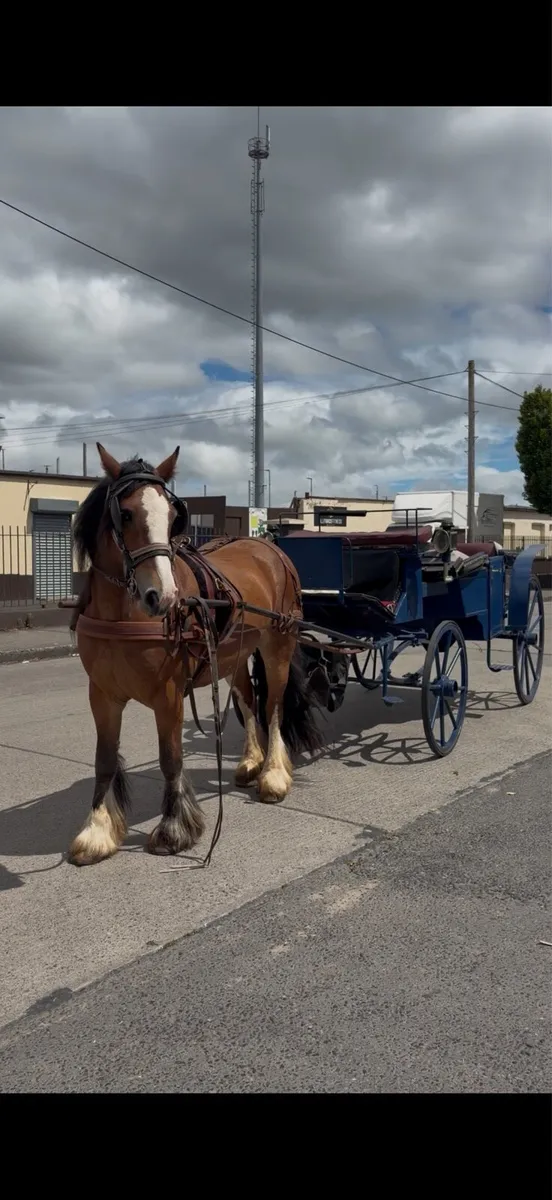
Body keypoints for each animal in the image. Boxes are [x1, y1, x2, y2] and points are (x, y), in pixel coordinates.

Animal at [69, 442, 323, 867]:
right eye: (125, 513)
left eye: (174, 517)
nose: (164, 597)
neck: (123, 614)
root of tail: (267, 545)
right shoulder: (100, 694)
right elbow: (104, 759)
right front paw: (97, 831)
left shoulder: (169, 694)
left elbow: (170, 757)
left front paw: (174, 828)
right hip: (234, 654)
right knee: (248, 701)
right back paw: (250, 762)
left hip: (278, 645)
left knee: (272, 707)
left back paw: (272, 774)